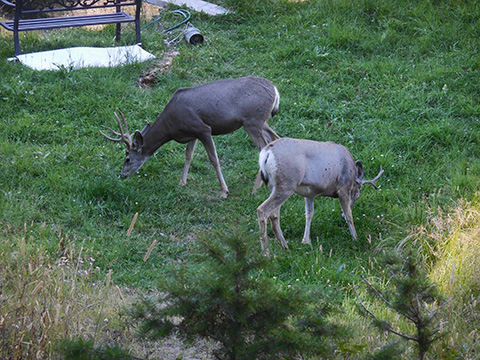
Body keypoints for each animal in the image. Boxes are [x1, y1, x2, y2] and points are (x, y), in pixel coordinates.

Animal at [101, 77, 282, 198]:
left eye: (127, 159)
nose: (122, 175)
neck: (171, 127)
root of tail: (275, 90)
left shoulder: (203, 129)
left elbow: (213, 159)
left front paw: (224, 191)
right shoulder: (192, 133)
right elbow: (188, 155)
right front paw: (182, 182)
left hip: (252, 120)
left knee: (263, 147)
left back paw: (255, 189)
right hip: (261, 121)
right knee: (275, 138)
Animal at [256, 136, 384, 255]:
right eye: (358, 193)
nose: (356, 197)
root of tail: (266, 153)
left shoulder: (309, 194)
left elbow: (309, 214)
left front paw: (306, 241)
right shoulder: (343, 188)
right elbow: (349, 216)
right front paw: (355, 239)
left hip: (275, 185)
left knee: (274, 214)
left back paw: (284, 246)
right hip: (287, 183)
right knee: (262, 210)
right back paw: (266, 251)